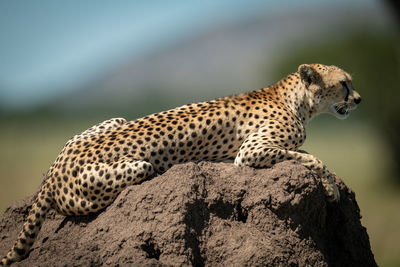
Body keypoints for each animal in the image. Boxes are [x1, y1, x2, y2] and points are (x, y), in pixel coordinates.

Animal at [0, 63, 362, 266]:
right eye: (344, 83)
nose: (359, 100)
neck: (295, 99)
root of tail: (52, 175)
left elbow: (307, 153)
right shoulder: (250, 152)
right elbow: (312, 157)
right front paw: (332, 190)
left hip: (115, 120)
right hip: (137, 169)